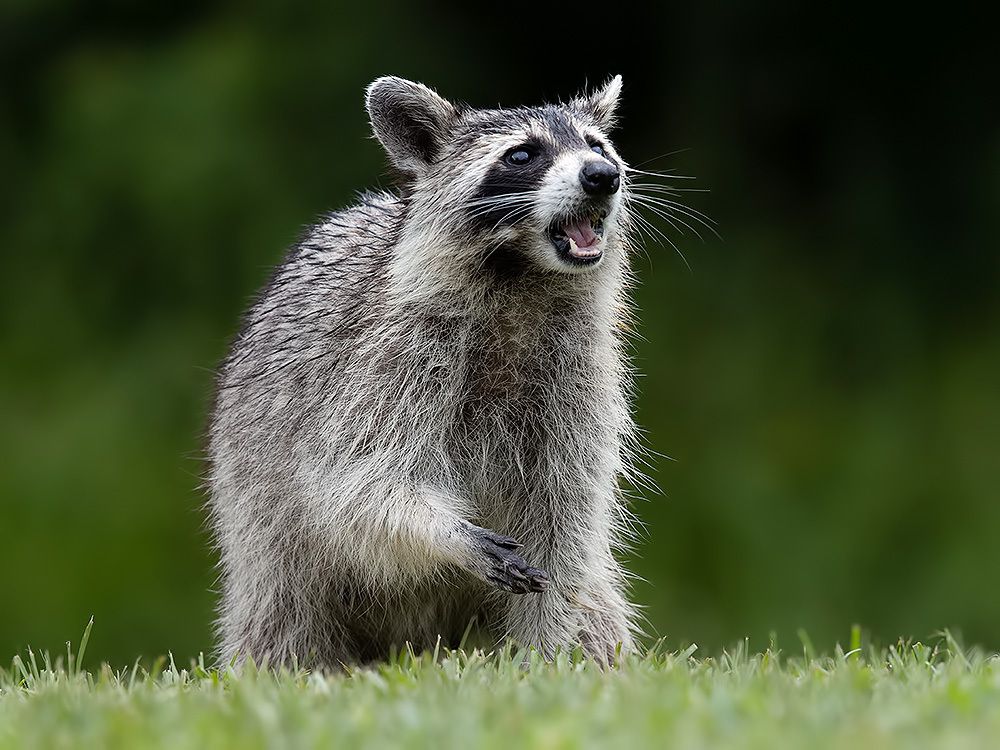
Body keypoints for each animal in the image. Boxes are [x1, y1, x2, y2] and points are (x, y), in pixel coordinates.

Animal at [208, 75, 648, 667]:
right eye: (523, 154)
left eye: (596, 145)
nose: (603, 175)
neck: (521, 277)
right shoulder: (387, 359)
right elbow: (353, 486)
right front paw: (447, 535)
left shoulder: (578, 381)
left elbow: (566, 525)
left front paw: (549, 655)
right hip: (260, 530)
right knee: (284, 621)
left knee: (597, 605)